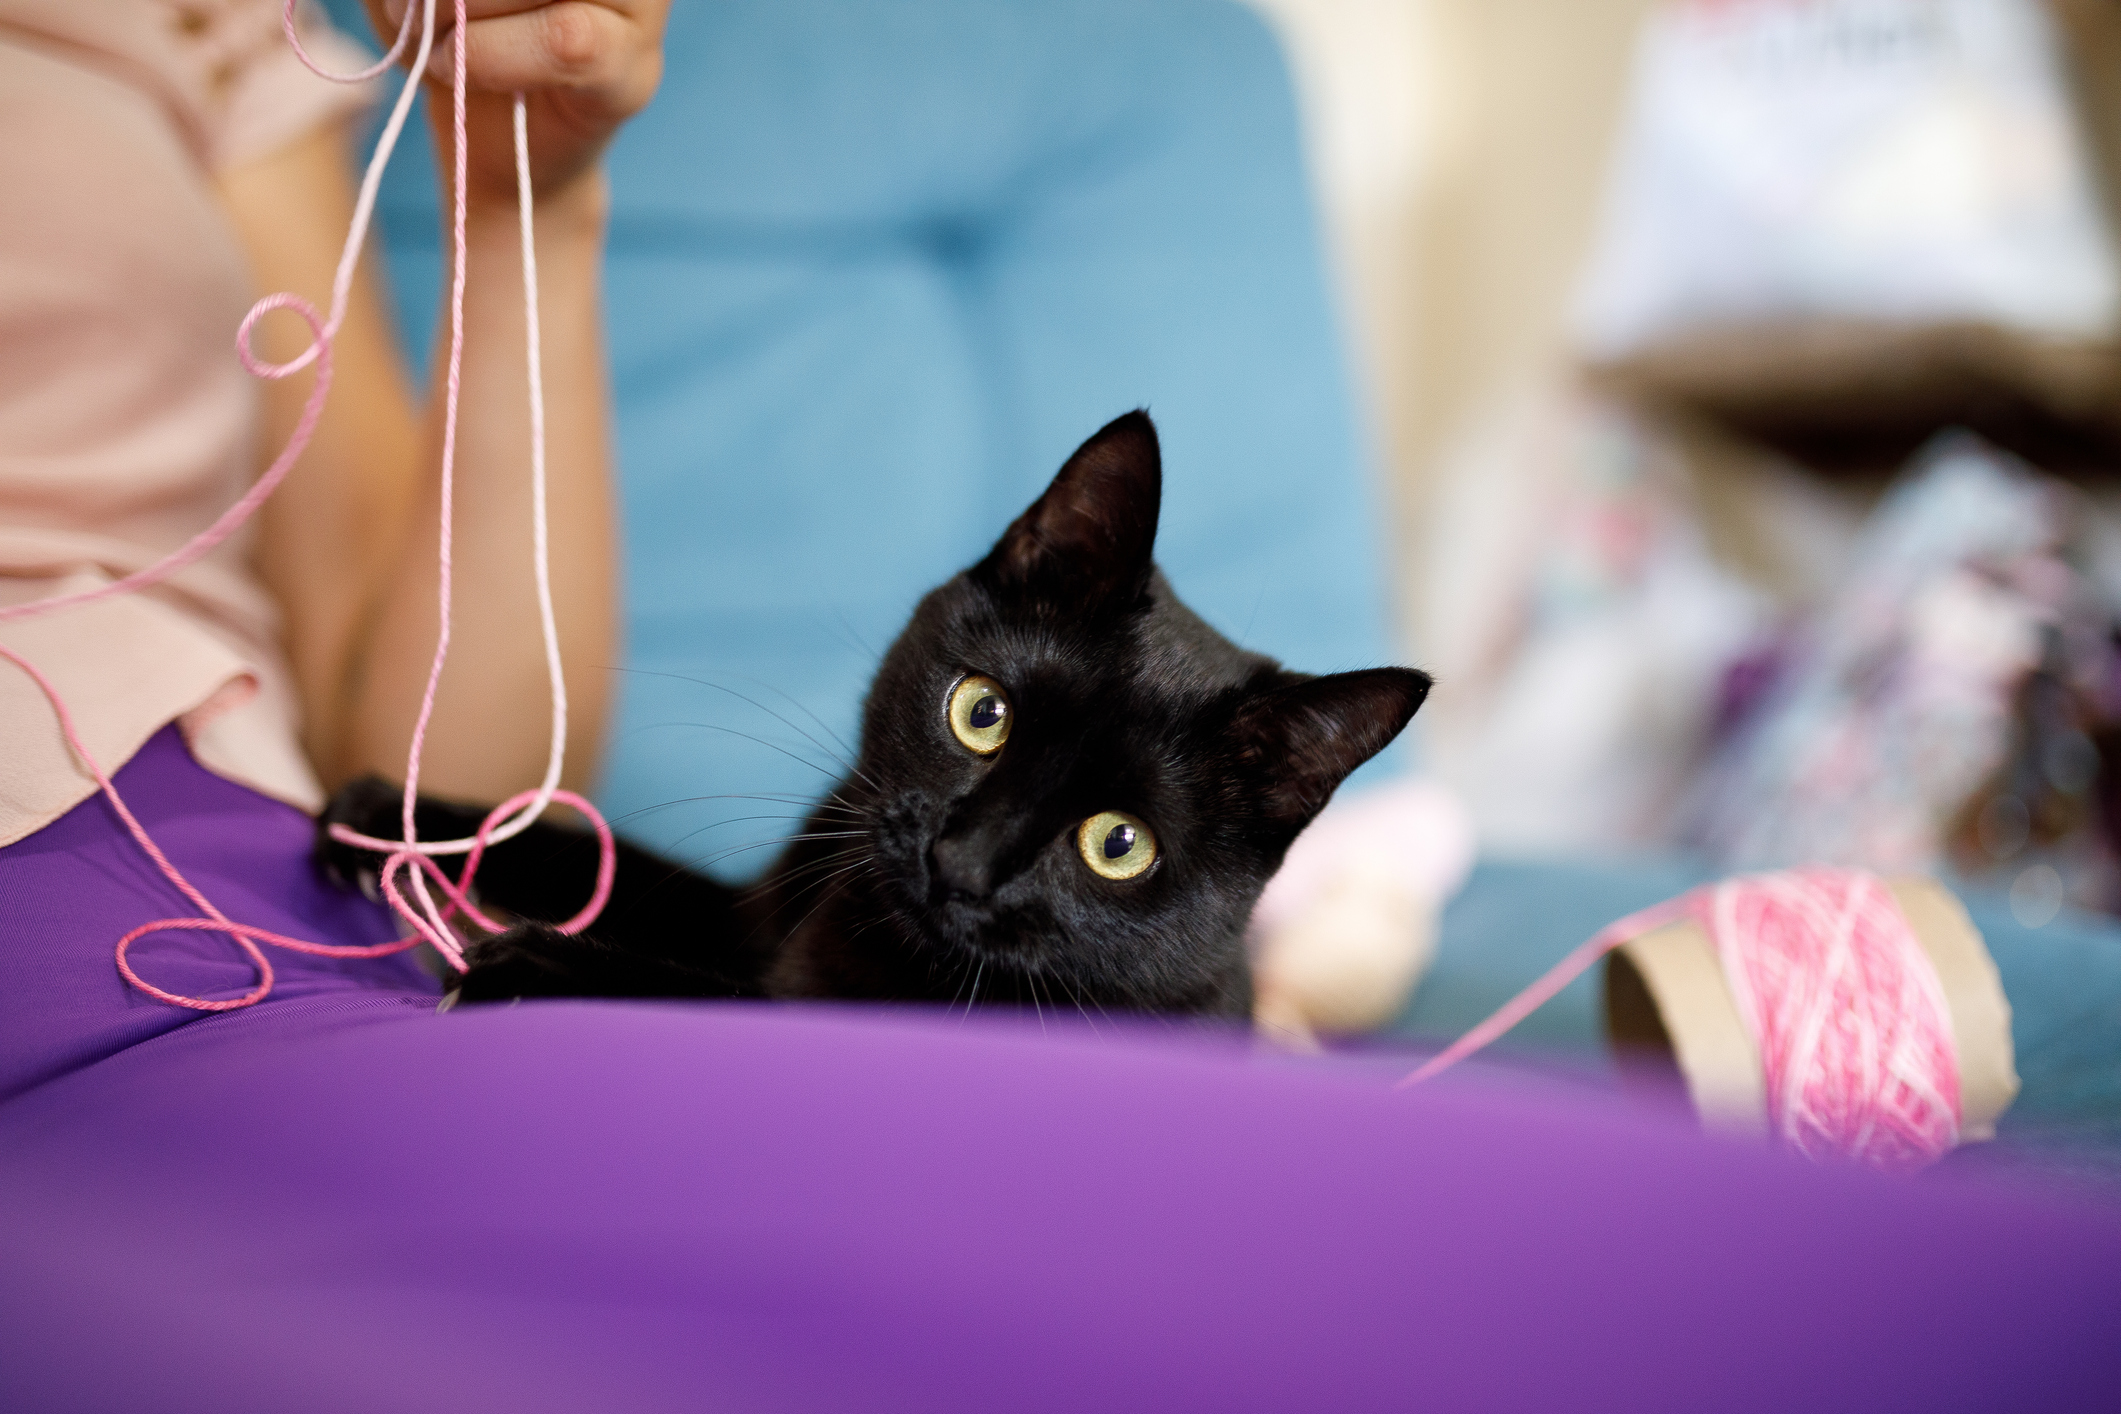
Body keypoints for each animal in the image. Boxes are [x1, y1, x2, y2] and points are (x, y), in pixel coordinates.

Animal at [322, 409, 1433, 1017]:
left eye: (1119, 844)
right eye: (981, 713)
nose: (962, 862)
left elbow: (707, 996)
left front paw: (538, 961)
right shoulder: (756, 906)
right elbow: (603, 857)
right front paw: (389, 820)